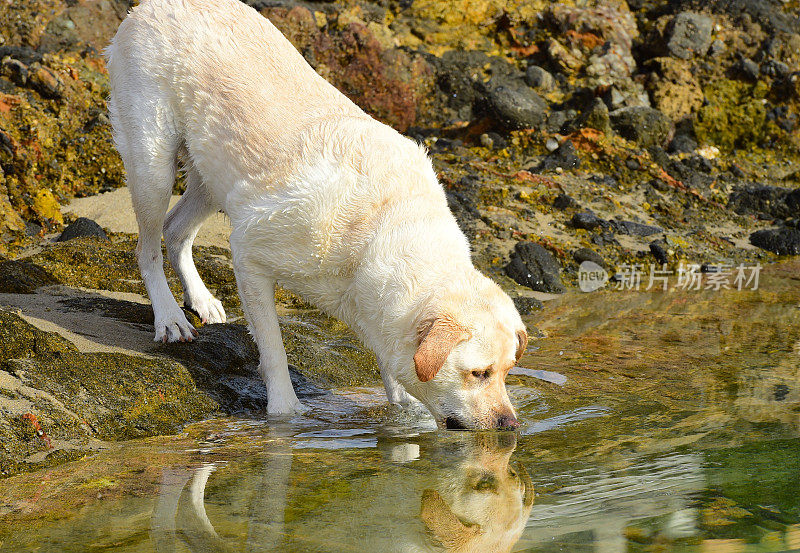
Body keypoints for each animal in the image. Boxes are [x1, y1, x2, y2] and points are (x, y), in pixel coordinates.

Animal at [108, 0, 532, 426]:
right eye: (478, 373)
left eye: (508, 370)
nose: (510, 425)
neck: (379, 229)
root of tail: (149, 7)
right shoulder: (249, 254)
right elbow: (274, 350)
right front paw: (285, 414)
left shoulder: (379, 314)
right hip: (153, 163)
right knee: (147, 248)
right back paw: (169, 317)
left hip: (214, 176)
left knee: (176, 229)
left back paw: (200, 299)